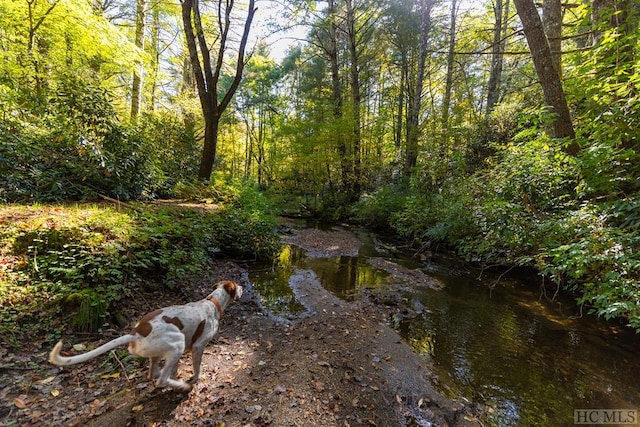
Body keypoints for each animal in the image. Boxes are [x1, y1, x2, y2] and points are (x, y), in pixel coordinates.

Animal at [50, 280, 242, 394]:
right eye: (238, 286)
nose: (243, 288)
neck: (212, 303)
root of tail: (136, 332)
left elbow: (174, 370)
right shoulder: (198, 347)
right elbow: (196, 368)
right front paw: (195, 379)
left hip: (161, 352)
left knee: (154, 373)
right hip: (177, 345)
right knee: (161, 379)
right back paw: (182, 386)